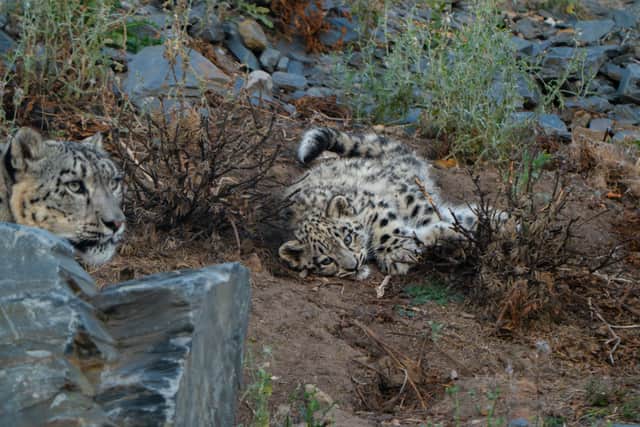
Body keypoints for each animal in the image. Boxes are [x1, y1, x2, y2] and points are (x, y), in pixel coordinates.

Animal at [279, 127, 490, 280]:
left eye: (347, 238)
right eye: (325, 261)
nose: (353, 266)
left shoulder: (373, 206)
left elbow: (386, 230)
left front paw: (399, 252)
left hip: (411, 200)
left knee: (444, 216)